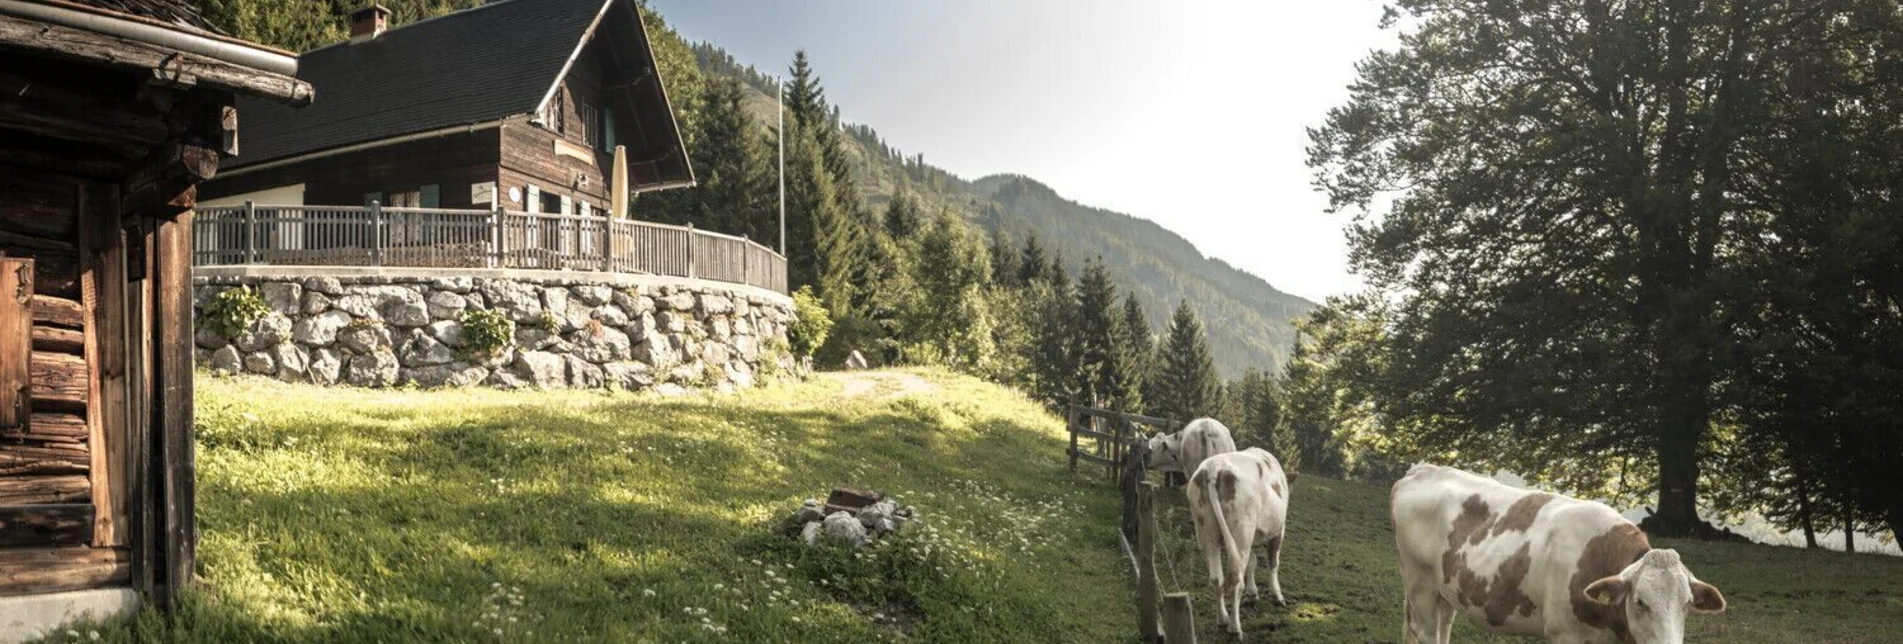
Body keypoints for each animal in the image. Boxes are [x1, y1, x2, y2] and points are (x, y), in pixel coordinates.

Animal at [1187, 445, 1294, 636]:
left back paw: (1222, 619)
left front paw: (1253, 593)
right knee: (1236, 580)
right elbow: (1273, 562)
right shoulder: (1278, 531)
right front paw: (1277, 595)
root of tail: (1215, 466)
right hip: (1241, 534)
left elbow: (1253, 562)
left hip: (1207, 533)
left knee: (1217, 577)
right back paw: (1235, 627)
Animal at [1392, 462, 1735, 644]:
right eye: (1640, 602)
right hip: (1419, 584)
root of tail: (1422, 469)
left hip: (1446, 590)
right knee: (1424, 632)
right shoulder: (1564, 634)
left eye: (1687, 603)